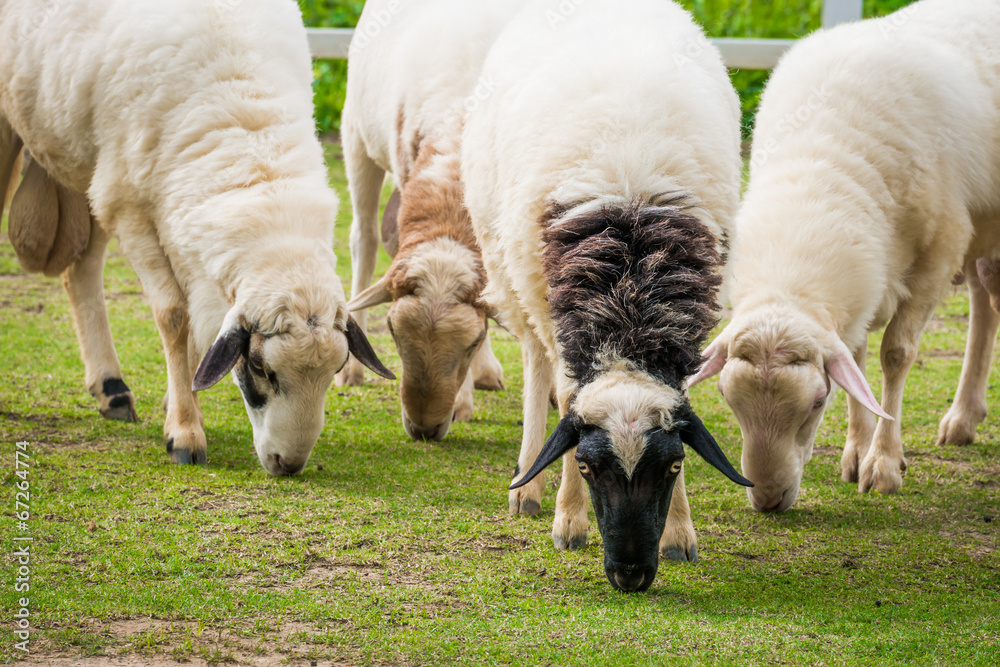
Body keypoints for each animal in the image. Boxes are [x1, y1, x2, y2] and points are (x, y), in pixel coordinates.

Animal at [0, 0, 393, 474]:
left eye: (336, 371)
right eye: (260, 368)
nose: (288, 464)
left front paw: (183, 399)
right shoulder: (132, 208)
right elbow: (174, 315)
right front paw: (184, 432)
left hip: (90, 164)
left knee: (81, 272)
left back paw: (112, 390)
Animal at [335, 0, 523, 441]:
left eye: (473, 340)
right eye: (392, 333)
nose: (423, 428)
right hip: (355, 136)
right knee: (364, 239)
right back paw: (352, 372)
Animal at [462, 0, 752, 592]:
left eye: (673, 467)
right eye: (589, 466)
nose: (631, 575)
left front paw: (680, 532)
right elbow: (568, 396)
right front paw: (569, 519)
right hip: (512, 269)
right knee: (537, 365)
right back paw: (528, 485)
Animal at [688, 0, 1000, 511]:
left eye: (818, 402)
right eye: (727, 398)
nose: (768, 500)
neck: (821, 168)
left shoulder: (941, 249)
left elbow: (895, 354)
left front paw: (884, 463)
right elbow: (855, 356)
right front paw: (856, 449)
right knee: (984, 302)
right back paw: (964, 417)